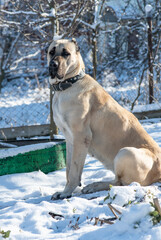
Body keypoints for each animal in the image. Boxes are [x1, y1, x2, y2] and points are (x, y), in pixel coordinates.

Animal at [46, 37, 161, 200]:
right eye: (51, 52)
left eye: (66, 53)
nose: (53, 65)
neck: (69, 84)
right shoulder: (70, 139)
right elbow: (68, 169)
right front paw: (64, 190)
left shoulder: (81, 136)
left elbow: (74, 170)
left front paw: (67, 192)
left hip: (126, 152)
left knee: (120, 183)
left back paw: (94, 186)